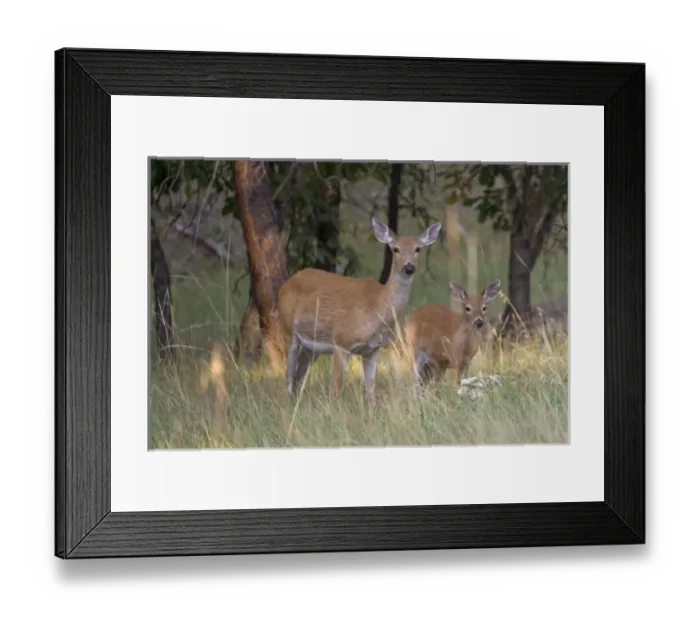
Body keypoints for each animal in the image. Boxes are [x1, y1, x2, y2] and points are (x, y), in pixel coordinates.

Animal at [277, 217, 442, 400]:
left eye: (418, 248)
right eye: (396, 249)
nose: (409, 268)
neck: (378, 306)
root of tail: (287, 283)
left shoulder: (373, 349)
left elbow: (370, 391)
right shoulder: (341, 341)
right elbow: (335, 390)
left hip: (311, 346)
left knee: (298, 373)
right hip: (287, 331)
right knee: (288, 375)